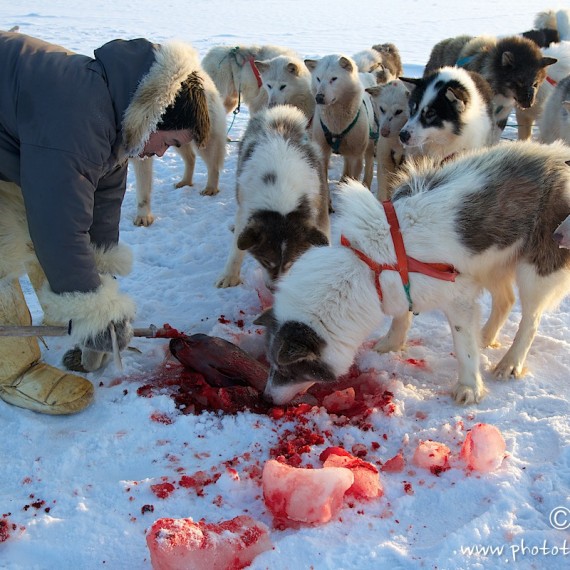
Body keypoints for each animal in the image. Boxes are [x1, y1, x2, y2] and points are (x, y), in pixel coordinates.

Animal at [214, 105, 330, 288]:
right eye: (265, 261)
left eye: (291, 262)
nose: (274, 289)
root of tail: (280, 112)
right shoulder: (246, 208)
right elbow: (237, 248)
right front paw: (230, 275)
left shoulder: (319, 205)